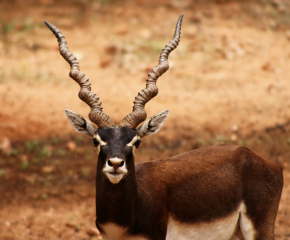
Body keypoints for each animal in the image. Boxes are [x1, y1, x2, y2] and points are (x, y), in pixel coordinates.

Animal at [45, 14, 284, 239]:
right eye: (96, 140)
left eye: (136, 141)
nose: (115, 164)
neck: (124, 223)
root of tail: (254, 156)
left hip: (259, 229)